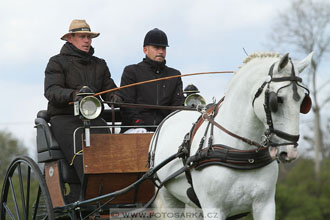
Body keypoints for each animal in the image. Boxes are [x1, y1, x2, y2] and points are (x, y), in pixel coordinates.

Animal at [149, 52, 312, 219]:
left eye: (303, 101)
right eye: (278, 99)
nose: (290, 152)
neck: (243, 153)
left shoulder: (265, 206)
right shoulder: (214, 208)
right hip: (169, 197)